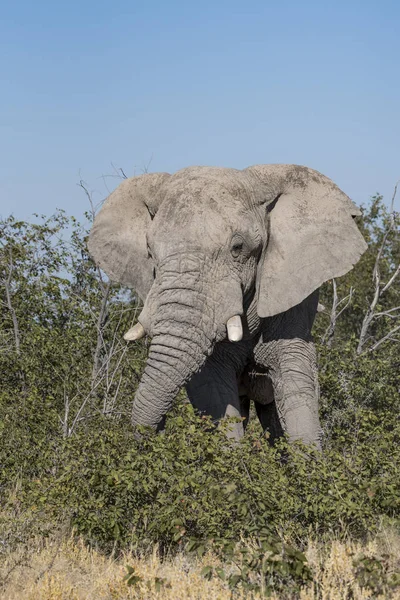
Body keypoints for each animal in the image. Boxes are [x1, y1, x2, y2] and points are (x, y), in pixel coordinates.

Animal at [89, 164, 368, 446]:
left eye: (238, 247)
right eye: (149, 251)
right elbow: (213, 384)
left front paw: (308, 457)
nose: (160, 430)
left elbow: (292, 369)